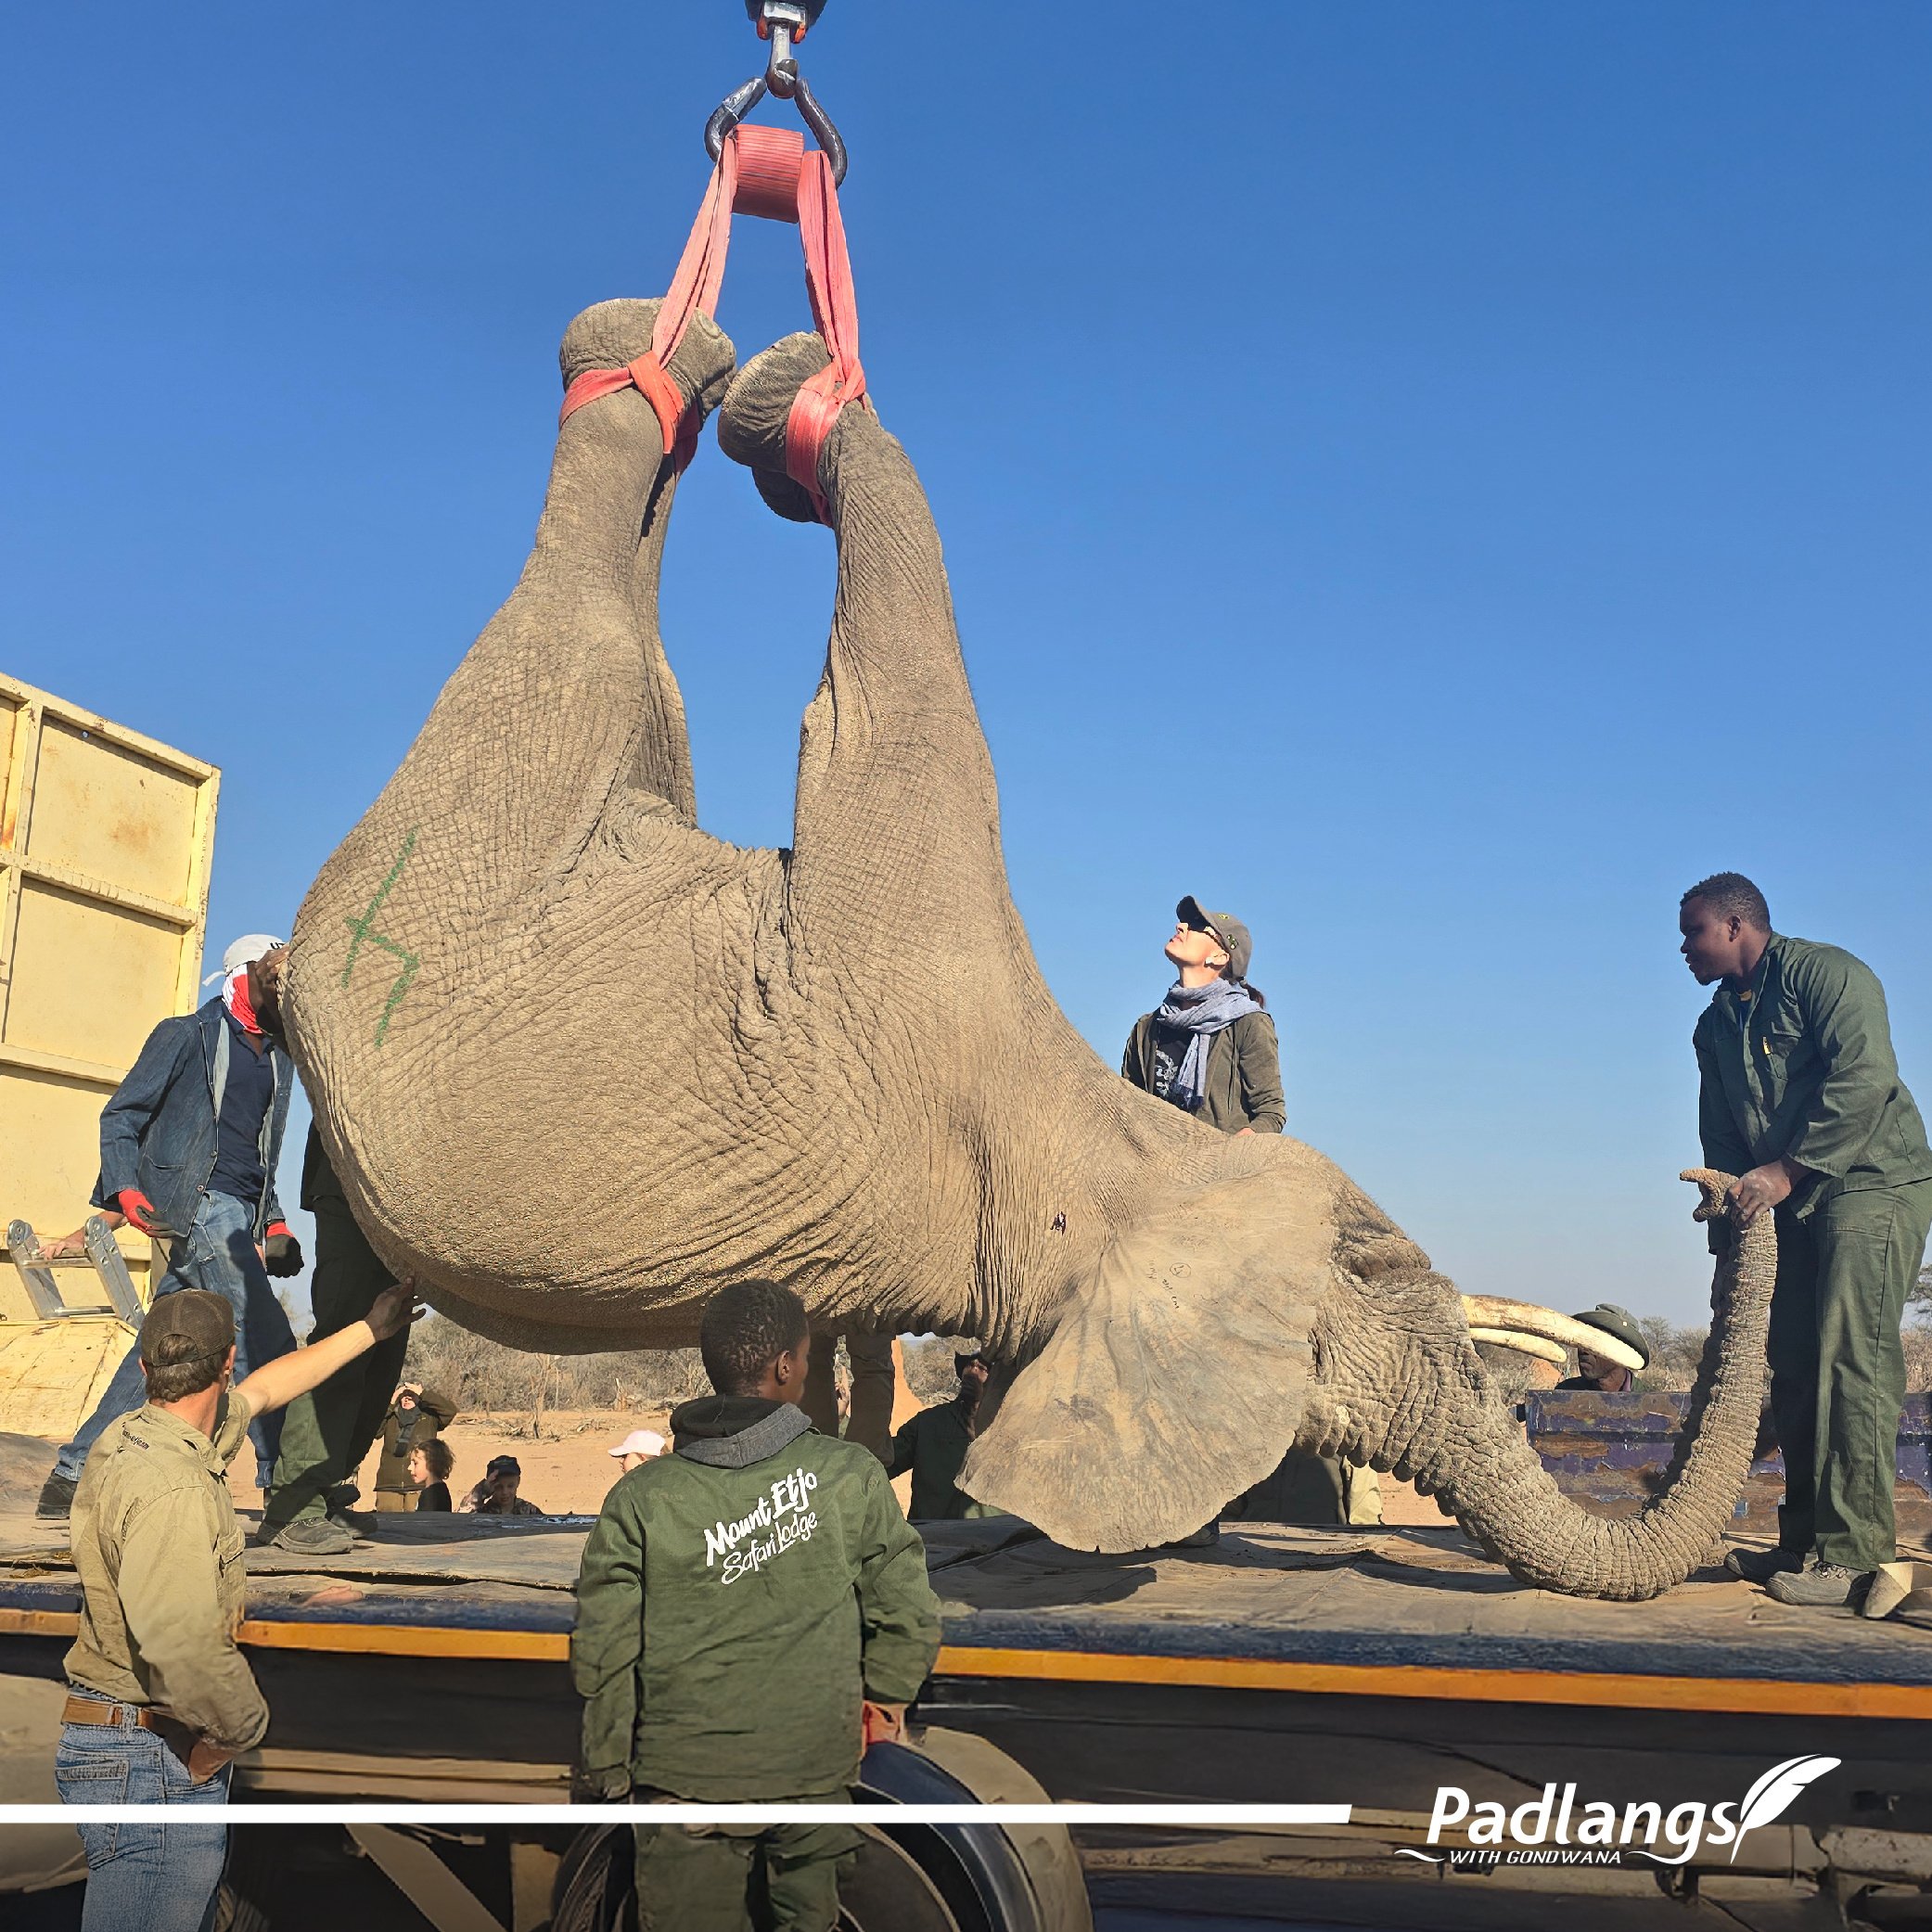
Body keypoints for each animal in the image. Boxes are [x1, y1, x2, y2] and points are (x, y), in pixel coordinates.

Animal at [285, 297, 1772, 1595]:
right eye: (1369, 1266)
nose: (1719, 1186)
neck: (1109, 1151)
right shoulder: (913, 905)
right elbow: (904, 694)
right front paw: (806, 405)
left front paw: (790, 412)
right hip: (498, 775)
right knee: (597, 633)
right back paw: (674, 357)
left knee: (620, 642)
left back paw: (669, 364)